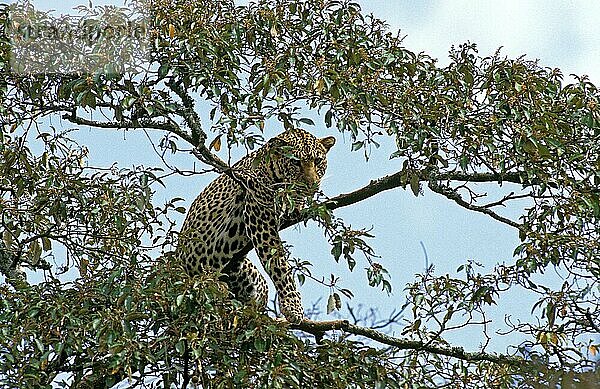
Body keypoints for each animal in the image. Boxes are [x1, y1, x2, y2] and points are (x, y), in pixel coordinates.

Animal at [176, 129, 336, 322]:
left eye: (318, 161)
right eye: (296, 162)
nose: (311, 184)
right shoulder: (260, 218)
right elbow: (279, 264)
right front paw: (293, 306)